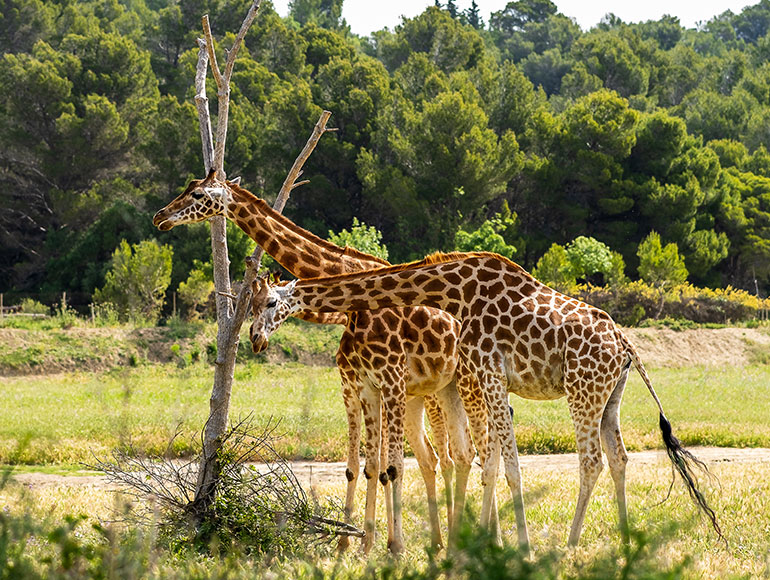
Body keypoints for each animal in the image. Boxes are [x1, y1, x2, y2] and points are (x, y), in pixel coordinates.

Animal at [153, 169, 496, 552]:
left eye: (197, 194)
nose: (160, 216)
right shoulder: (359, 383)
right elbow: (366, 466)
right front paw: (358, 543)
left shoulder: (388, 379)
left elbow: (389, 466)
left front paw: (385, 545)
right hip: (433, 393)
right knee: (449, 456)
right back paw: (447, 541)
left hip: (464, 385)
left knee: (476, 454)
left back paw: (476, 538)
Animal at [250, 251, 720, 552]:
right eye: (247, 302)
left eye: (270, 301)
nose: (255, 338)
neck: (453, 292)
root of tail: (626, 345)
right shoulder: (485, 377)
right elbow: (488, 463)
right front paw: (479, 541)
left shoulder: (491, 373)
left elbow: (507, 466)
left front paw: (521, 546)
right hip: (610, 397)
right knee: (619, 456)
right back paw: (623, 540)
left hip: (582, 391)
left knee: (591, 460)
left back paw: (570, 543)